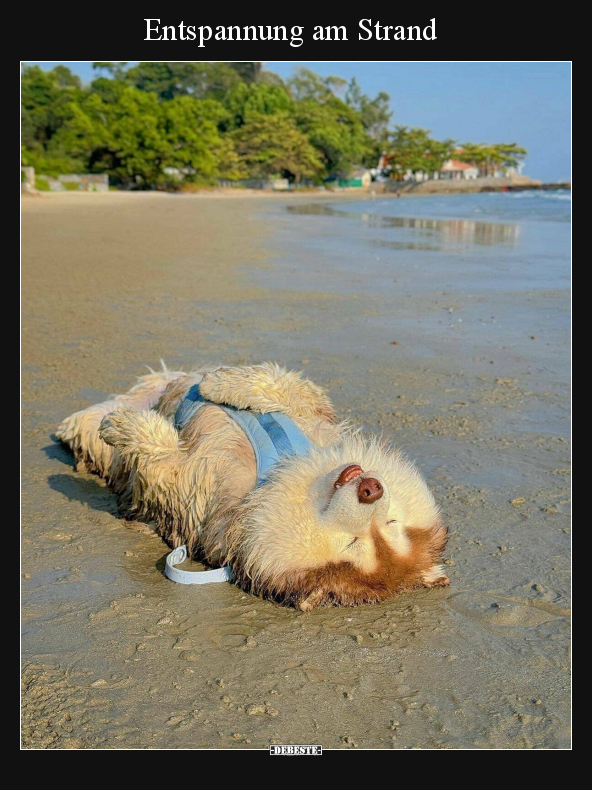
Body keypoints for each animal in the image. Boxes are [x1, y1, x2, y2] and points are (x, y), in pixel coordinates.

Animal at [56, 366, 448, 612]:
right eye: (393, 523)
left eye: (353, 544)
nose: (371, 488)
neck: (279, 468)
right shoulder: (314, 412)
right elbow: (283, 385)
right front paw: (219, 382)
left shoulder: (190, 489)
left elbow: (159, 456)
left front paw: (124, 426)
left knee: (95, 423)